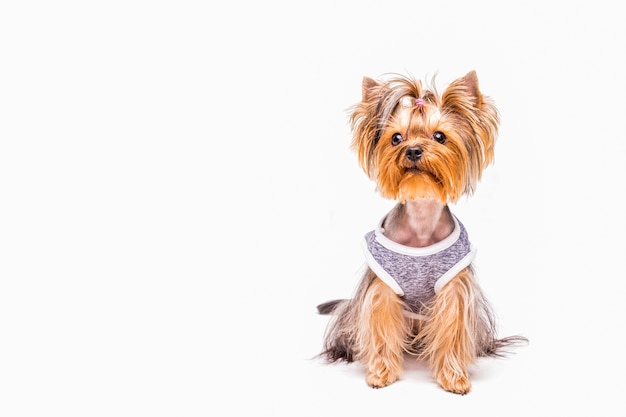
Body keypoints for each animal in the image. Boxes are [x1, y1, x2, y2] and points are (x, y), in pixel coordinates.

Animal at [316, 70, 528, 392]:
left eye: (439, 136)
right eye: (396, 138)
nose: (413, 150)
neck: (421, 221)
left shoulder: (454, 288)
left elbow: (453, 327)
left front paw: (454, 377)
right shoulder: (381, 287)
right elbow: (381, 324)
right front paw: (381, 373)